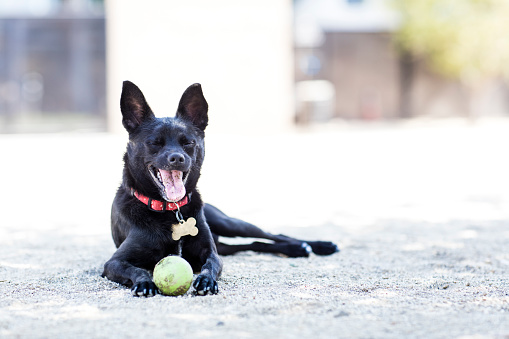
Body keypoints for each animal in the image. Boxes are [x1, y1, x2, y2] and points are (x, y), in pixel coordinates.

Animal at [101, 80, 338, 298]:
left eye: (188, 142)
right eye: (154, 143)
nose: (177, 158)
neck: (170, 211)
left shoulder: (211, 253)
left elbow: (211, 265)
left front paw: (206, 281)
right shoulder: (113, 263)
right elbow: (137, 270)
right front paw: (144, 283)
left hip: (229, 224)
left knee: (271, 234)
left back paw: (313, 246)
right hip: (225, 241)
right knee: (254, 243)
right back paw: (297, 249)